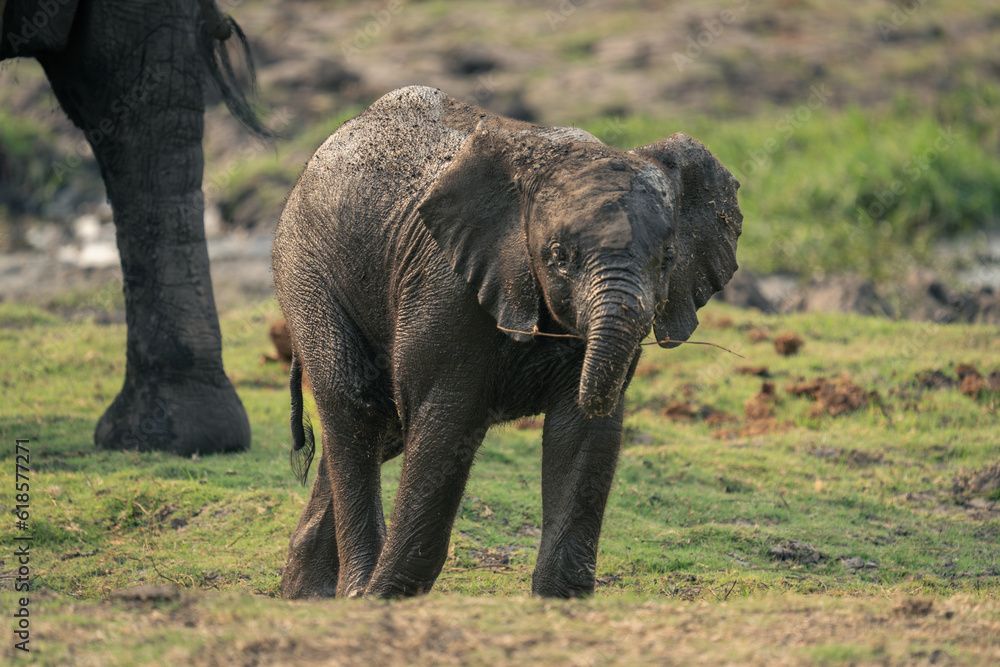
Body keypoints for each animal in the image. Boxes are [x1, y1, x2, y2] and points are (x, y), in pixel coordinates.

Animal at [272, 85, 742, 599]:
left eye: (669, 259)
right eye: (559, 256)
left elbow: (581, 436)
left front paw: (559, 604)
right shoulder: (447, 289)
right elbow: (446, 426)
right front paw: (383, 600)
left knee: (383, 426)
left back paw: (307, 597)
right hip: (305, 269)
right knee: (355, 407)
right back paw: (354, 593)